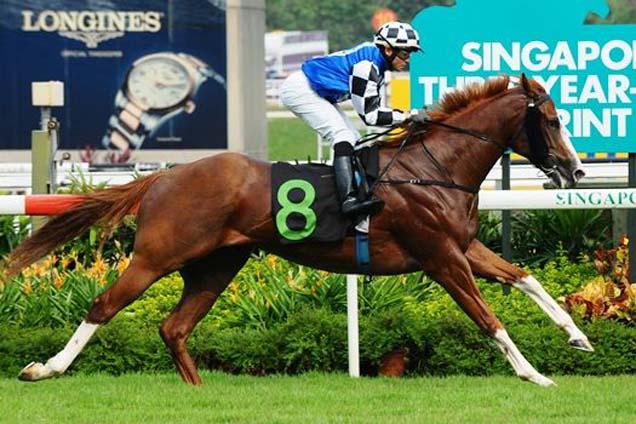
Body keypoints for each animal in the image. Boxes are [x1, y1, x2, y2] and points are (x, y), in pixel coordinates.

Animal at [4, 73, 592, 388]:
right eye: (554, 121)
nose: (576, 172)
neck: (434, 165)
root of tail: (165, 176)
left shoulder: (463, 247)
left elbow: (524, 279)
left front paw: (578, 336)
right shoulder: (441, 257)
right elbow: (489, 319)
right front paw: (535, 374)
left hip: (216, 265)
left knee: (174, 327)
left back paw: (198, 392)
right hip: (157, 256)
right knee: (104, 305)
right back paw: (44, 369)